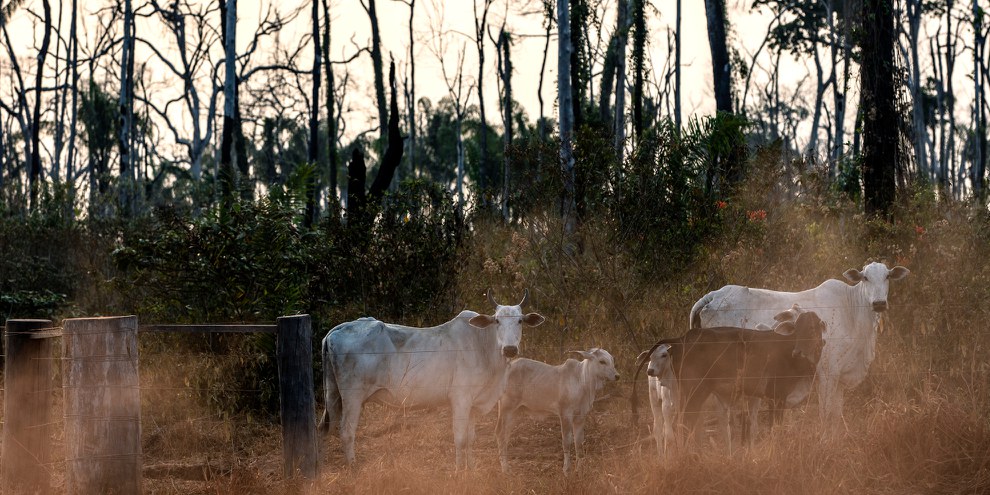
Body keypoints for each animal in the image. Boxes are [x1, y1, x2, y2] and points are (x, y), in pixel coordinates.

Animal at [322, 290, 548, 468]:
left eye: (520, 321)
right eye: (497, 321)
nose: (510, 349)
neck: (483, 346)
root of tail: (337, 329)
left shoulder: (474, 404)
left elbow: (471, 439)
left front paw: (472, 469)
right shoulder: (461, 399)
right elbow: (460, 438)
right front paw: (459, 472)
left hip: (335, 395)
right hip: (353, 397)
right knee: (347, 431)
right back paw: (353, 468)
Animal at [688, 262, 916, 428]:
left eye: (887, 276)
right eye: (866, 278)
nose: (879, 303)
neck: (852, 312)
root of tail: (714, 295)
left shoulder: (840, 377)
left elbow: (836, 415)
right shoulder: (827, 373)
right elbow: (826, 414)